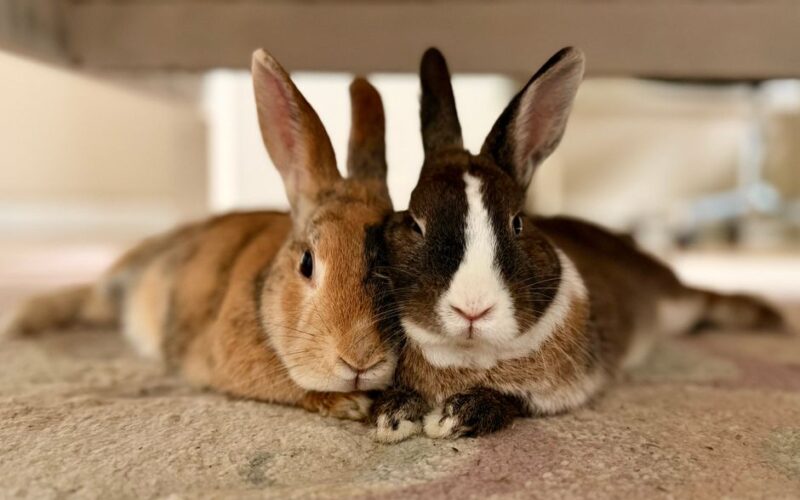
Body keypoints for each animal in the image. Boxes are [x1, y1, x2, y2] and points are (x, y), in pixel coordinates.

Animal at [370, 47, 786, 442]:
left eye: (518, 223)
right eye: (415, 223)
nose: (472, 310)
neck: (470, 355)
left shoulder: (561, 390)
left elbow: (512, 400)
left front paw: (453, 418)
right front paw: (391, 417)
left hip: (677, 304)